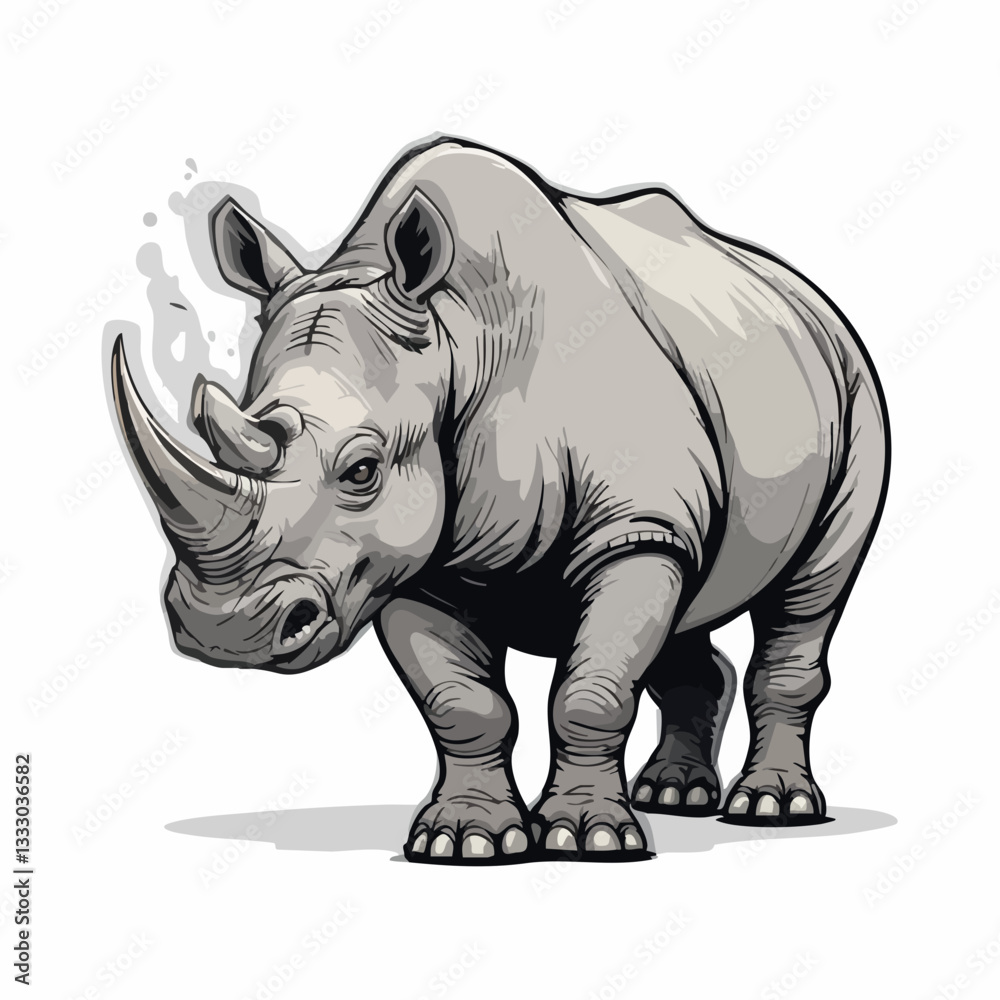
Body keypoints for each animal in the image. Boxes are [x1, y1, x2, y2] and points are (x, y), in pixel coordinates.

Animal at [110, 136, 889, 864]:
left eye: (362, 470)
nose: (223, 632)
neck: (461, 339)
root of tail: (809, 295)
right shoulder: (414, 562)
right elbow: (463, 702)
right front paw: (466, 843)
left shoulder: (634, 528)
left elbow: (591, 689)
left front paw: (589, 839)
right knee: (690, 602)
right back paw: (674, 796)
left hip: (854, 389)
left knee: (809, 594)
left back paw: (772, 809)